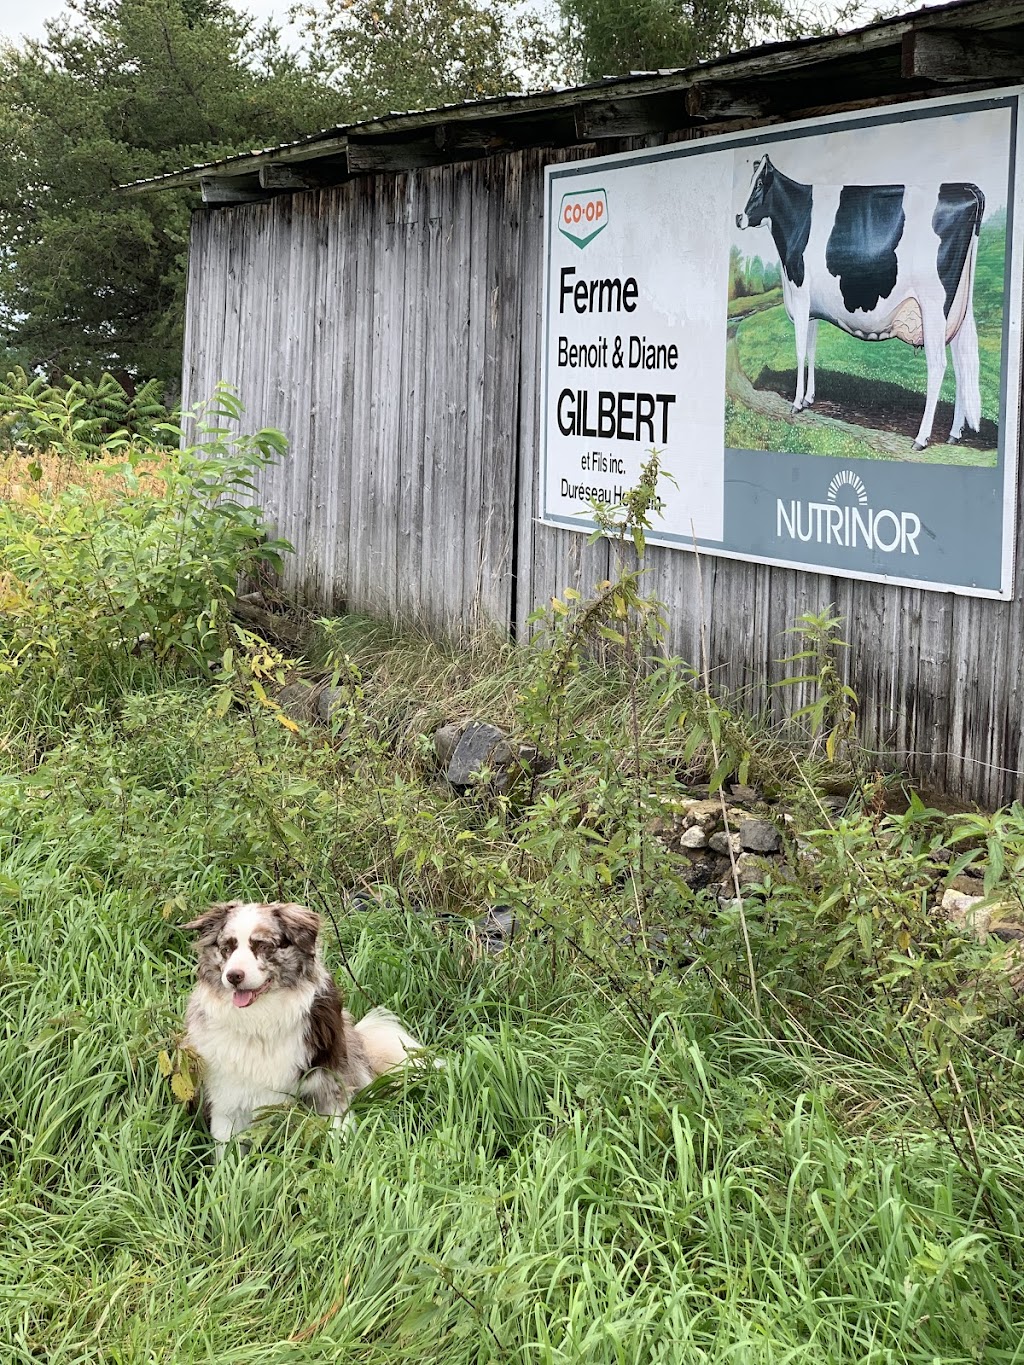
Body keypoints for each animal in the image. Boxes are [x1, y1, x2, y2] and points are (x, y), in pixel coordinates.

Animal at [737, 156, 988, 450]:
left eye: (759, 184)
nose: (738, 217)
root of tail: (965, 188)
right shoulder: (811, 308)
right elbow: (811, 350)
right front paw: (809, 398)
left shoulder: (799, 296)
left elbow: (799, 351)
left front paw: (797, 402)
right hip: (958, 309)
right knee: (961, 365)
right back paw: (954, 433)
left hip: (934, 306)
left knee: (938, 365)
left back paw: (922, 438)